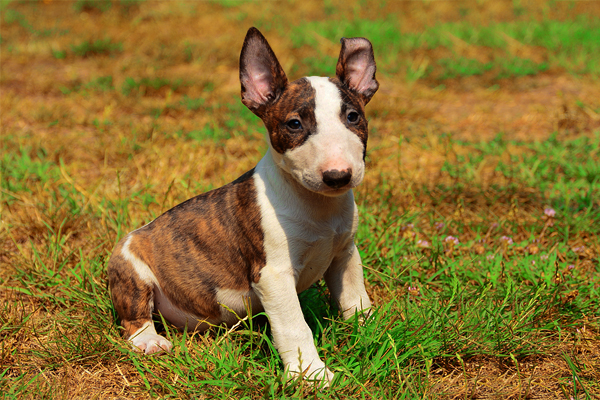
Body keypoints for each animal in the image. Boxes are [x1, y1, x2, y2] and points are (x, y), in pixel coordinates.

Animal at [106, 27, 380, 384]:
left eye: (353, 116)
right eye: (294, 124)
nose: (338, 176)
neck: (317, 206)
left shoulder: (345, 254)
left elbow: (355, 298)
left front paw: (371, 333)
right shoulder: (273, 274)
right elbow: (295, 326)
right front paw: (311, 375)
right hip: (132, 269)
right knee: (133, 319)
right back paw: (151, 341)